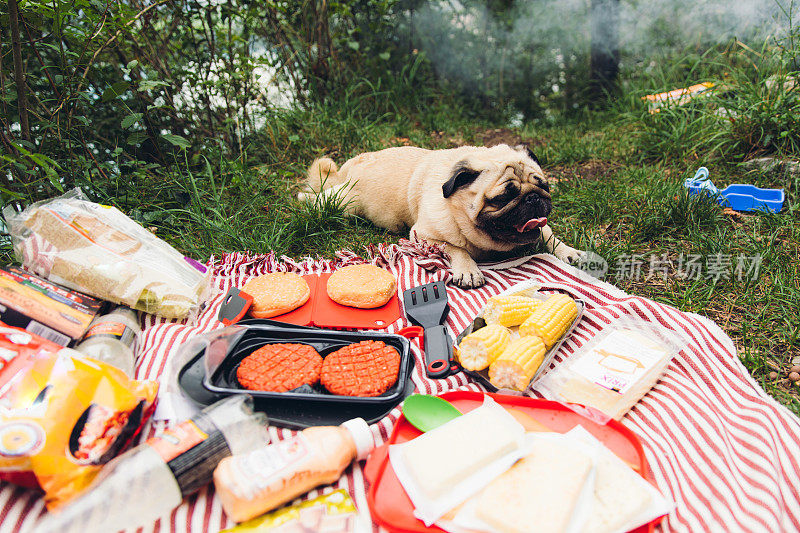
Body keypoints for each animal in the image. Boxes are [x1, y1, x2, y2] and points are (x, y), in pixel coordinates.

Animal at [296, 143, 584, 286]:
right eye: (503, 197)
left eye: (544, 186)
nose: (534, 198)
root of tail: (350, 166)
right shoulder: (422, 236)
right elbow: (457, 248)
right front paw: (468, 270)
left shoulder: (540, 224)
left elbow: (547, 233)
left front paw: (568, 252)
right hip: (343, 202)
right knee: (321, 198)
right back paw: (304, 199)